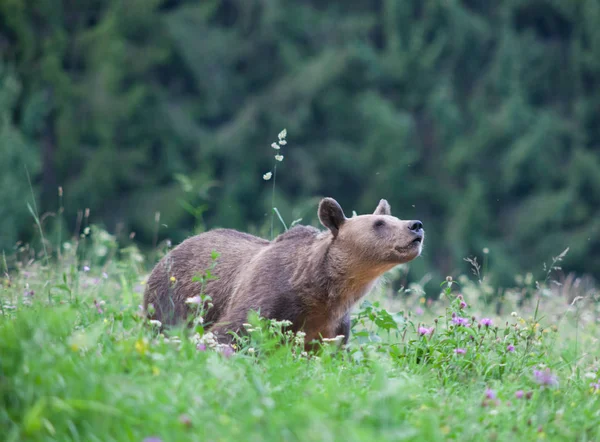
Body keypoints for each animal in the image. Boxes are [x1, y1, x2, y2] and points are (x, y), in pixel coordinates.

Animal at [143, 199, 424, 348]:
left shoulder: (332, 327)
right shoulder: (268, 299)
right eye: (379, 223)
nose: (416, 225)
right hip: (170, 301)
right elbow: (229, 333)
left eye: (395, 218)